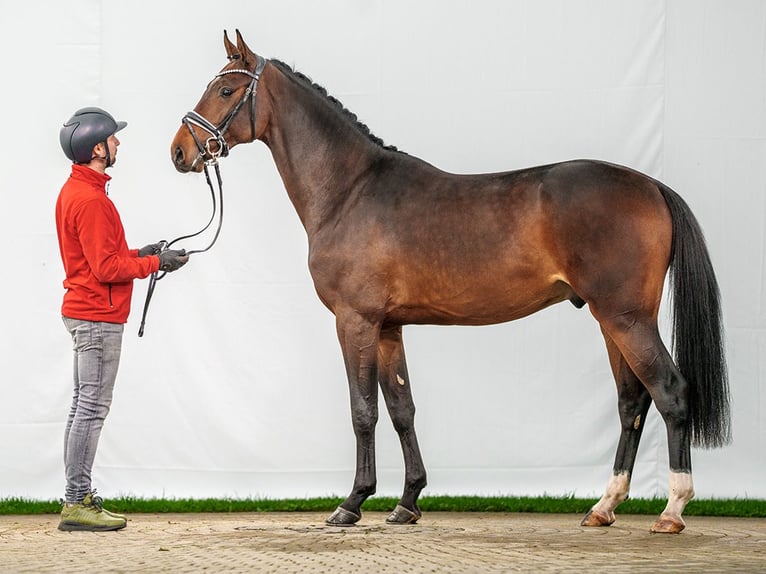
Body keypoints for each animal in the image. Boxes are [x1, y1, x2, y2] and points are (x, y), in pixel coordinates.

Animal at [172, 31, 732, 536]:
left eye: (226, 90)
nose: (179, 151)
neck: (350, 191)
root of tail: (651, 185)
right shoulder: (388, 327)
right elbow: (402, 410)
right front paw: (407, 502)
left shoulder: (355, 321)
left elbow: (362, 411)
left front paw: (351, 504)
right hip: (611, 319)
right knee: (631, 402)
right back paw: (604, 507)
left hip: (625, 317)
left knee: (670, 392)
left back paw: (672, 510)